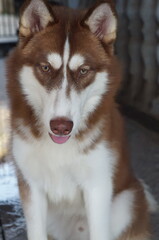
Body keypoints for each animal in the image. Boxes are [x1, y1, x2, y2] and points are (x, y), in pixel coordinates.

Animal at [6, 0, 157, 240]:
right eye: (46, 67)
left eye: (84, 70)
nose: (61, 127)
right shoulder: (31, 187)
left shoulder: (97, 187)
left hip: (126, 203)